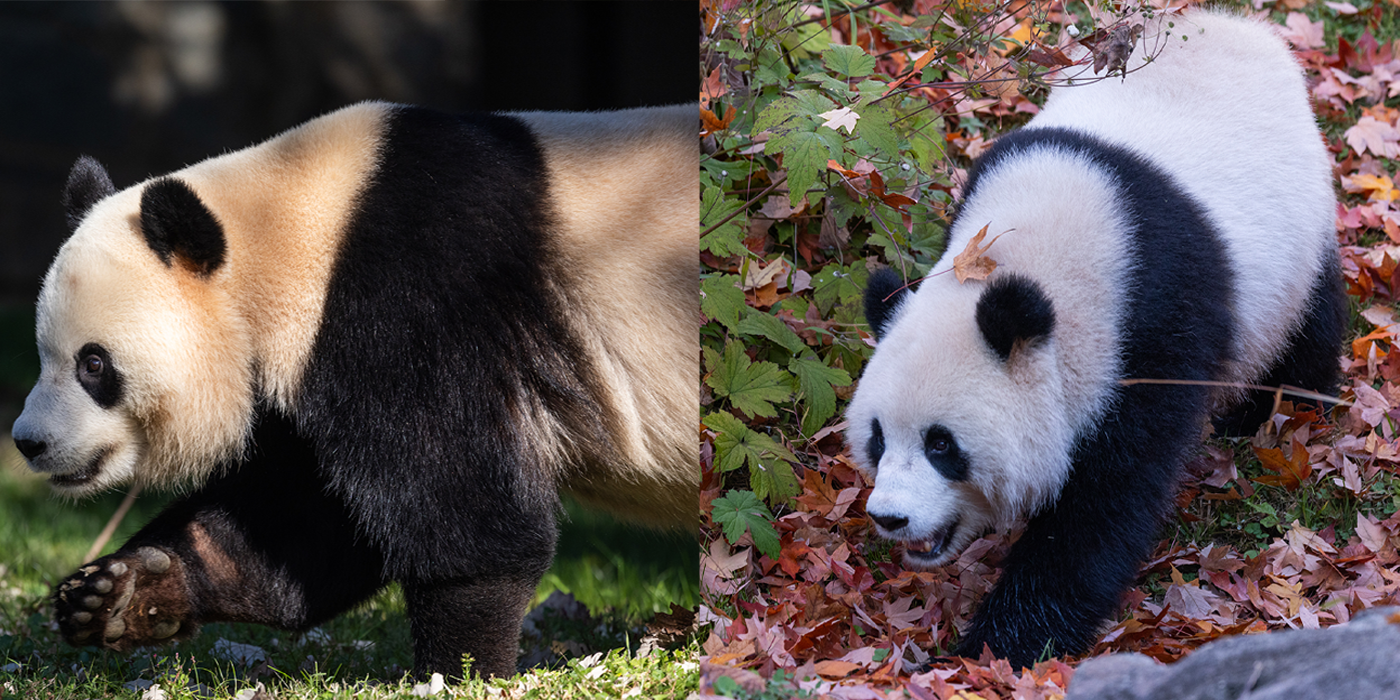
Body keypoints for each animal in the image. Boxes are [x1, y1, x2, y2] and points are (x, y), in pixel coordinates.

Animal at [5, 102, 694, 677]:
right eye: (44, 354)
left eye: (94, 365)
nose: (30, 443)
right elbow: (304, 523)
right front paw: (120, 592)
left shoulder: (410, 299)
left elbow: (469, 510)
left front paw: (461, 668)